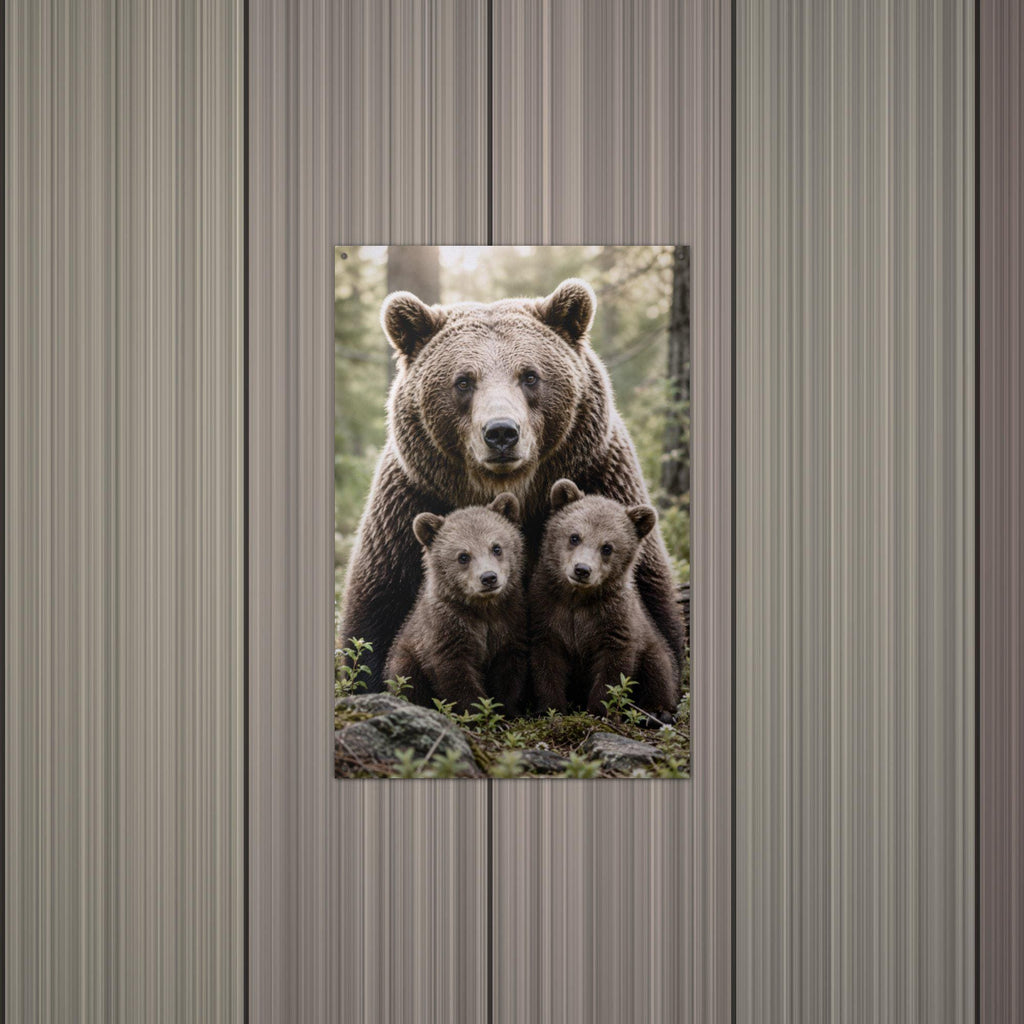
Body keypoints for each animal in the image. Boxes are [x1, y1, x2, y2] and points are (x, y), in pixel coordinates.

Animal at [338, 277, 685, 693]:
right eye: (463, 381)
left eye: (530, 375)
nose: (501, 432)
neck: (512, 488)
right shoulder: (411, 503)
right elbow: (375, 612)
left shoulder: (601, 475)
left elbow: (652, 602)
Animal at [384, 493, 528, 715]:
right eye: (463, 556)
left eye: (496, 547)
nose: (488, 577)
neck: (484, 609)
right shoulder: (447, 628)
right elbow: (455, 674)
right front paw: (479, 712)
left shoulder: (509, 622)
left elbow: (509, 670)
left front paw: (508, 710)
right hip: (405, 656)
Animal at [530, 479, 679, 724]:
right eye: (574, 536)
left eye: (607, 547)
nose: (582, 569)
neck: (577, 599)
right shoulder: (547, 613)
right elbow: (546, 663)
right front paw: (550, 709)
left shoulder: (614, 621)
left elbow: (613, 669)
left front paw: (601, 711)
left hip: (652, 644)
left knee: (659, 669)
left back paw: (657, 711)